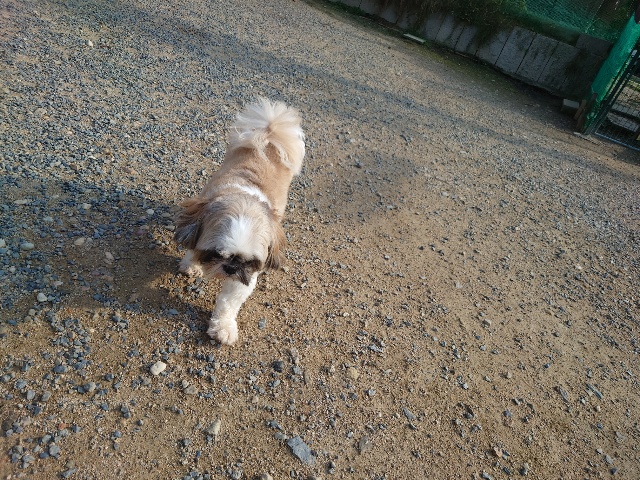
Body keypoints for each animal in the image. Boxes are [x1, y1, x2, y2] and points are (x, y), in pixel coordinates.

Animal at [173, 98, 305, 345]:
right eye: (215, 253)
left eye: (249, 262)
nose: (230, 267)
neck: (244, 200)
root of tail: (269, 133)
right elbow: (192, 246)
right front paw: (191, 264)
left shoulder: (246, 277)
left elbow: (228, 303)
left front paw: (223, 326)